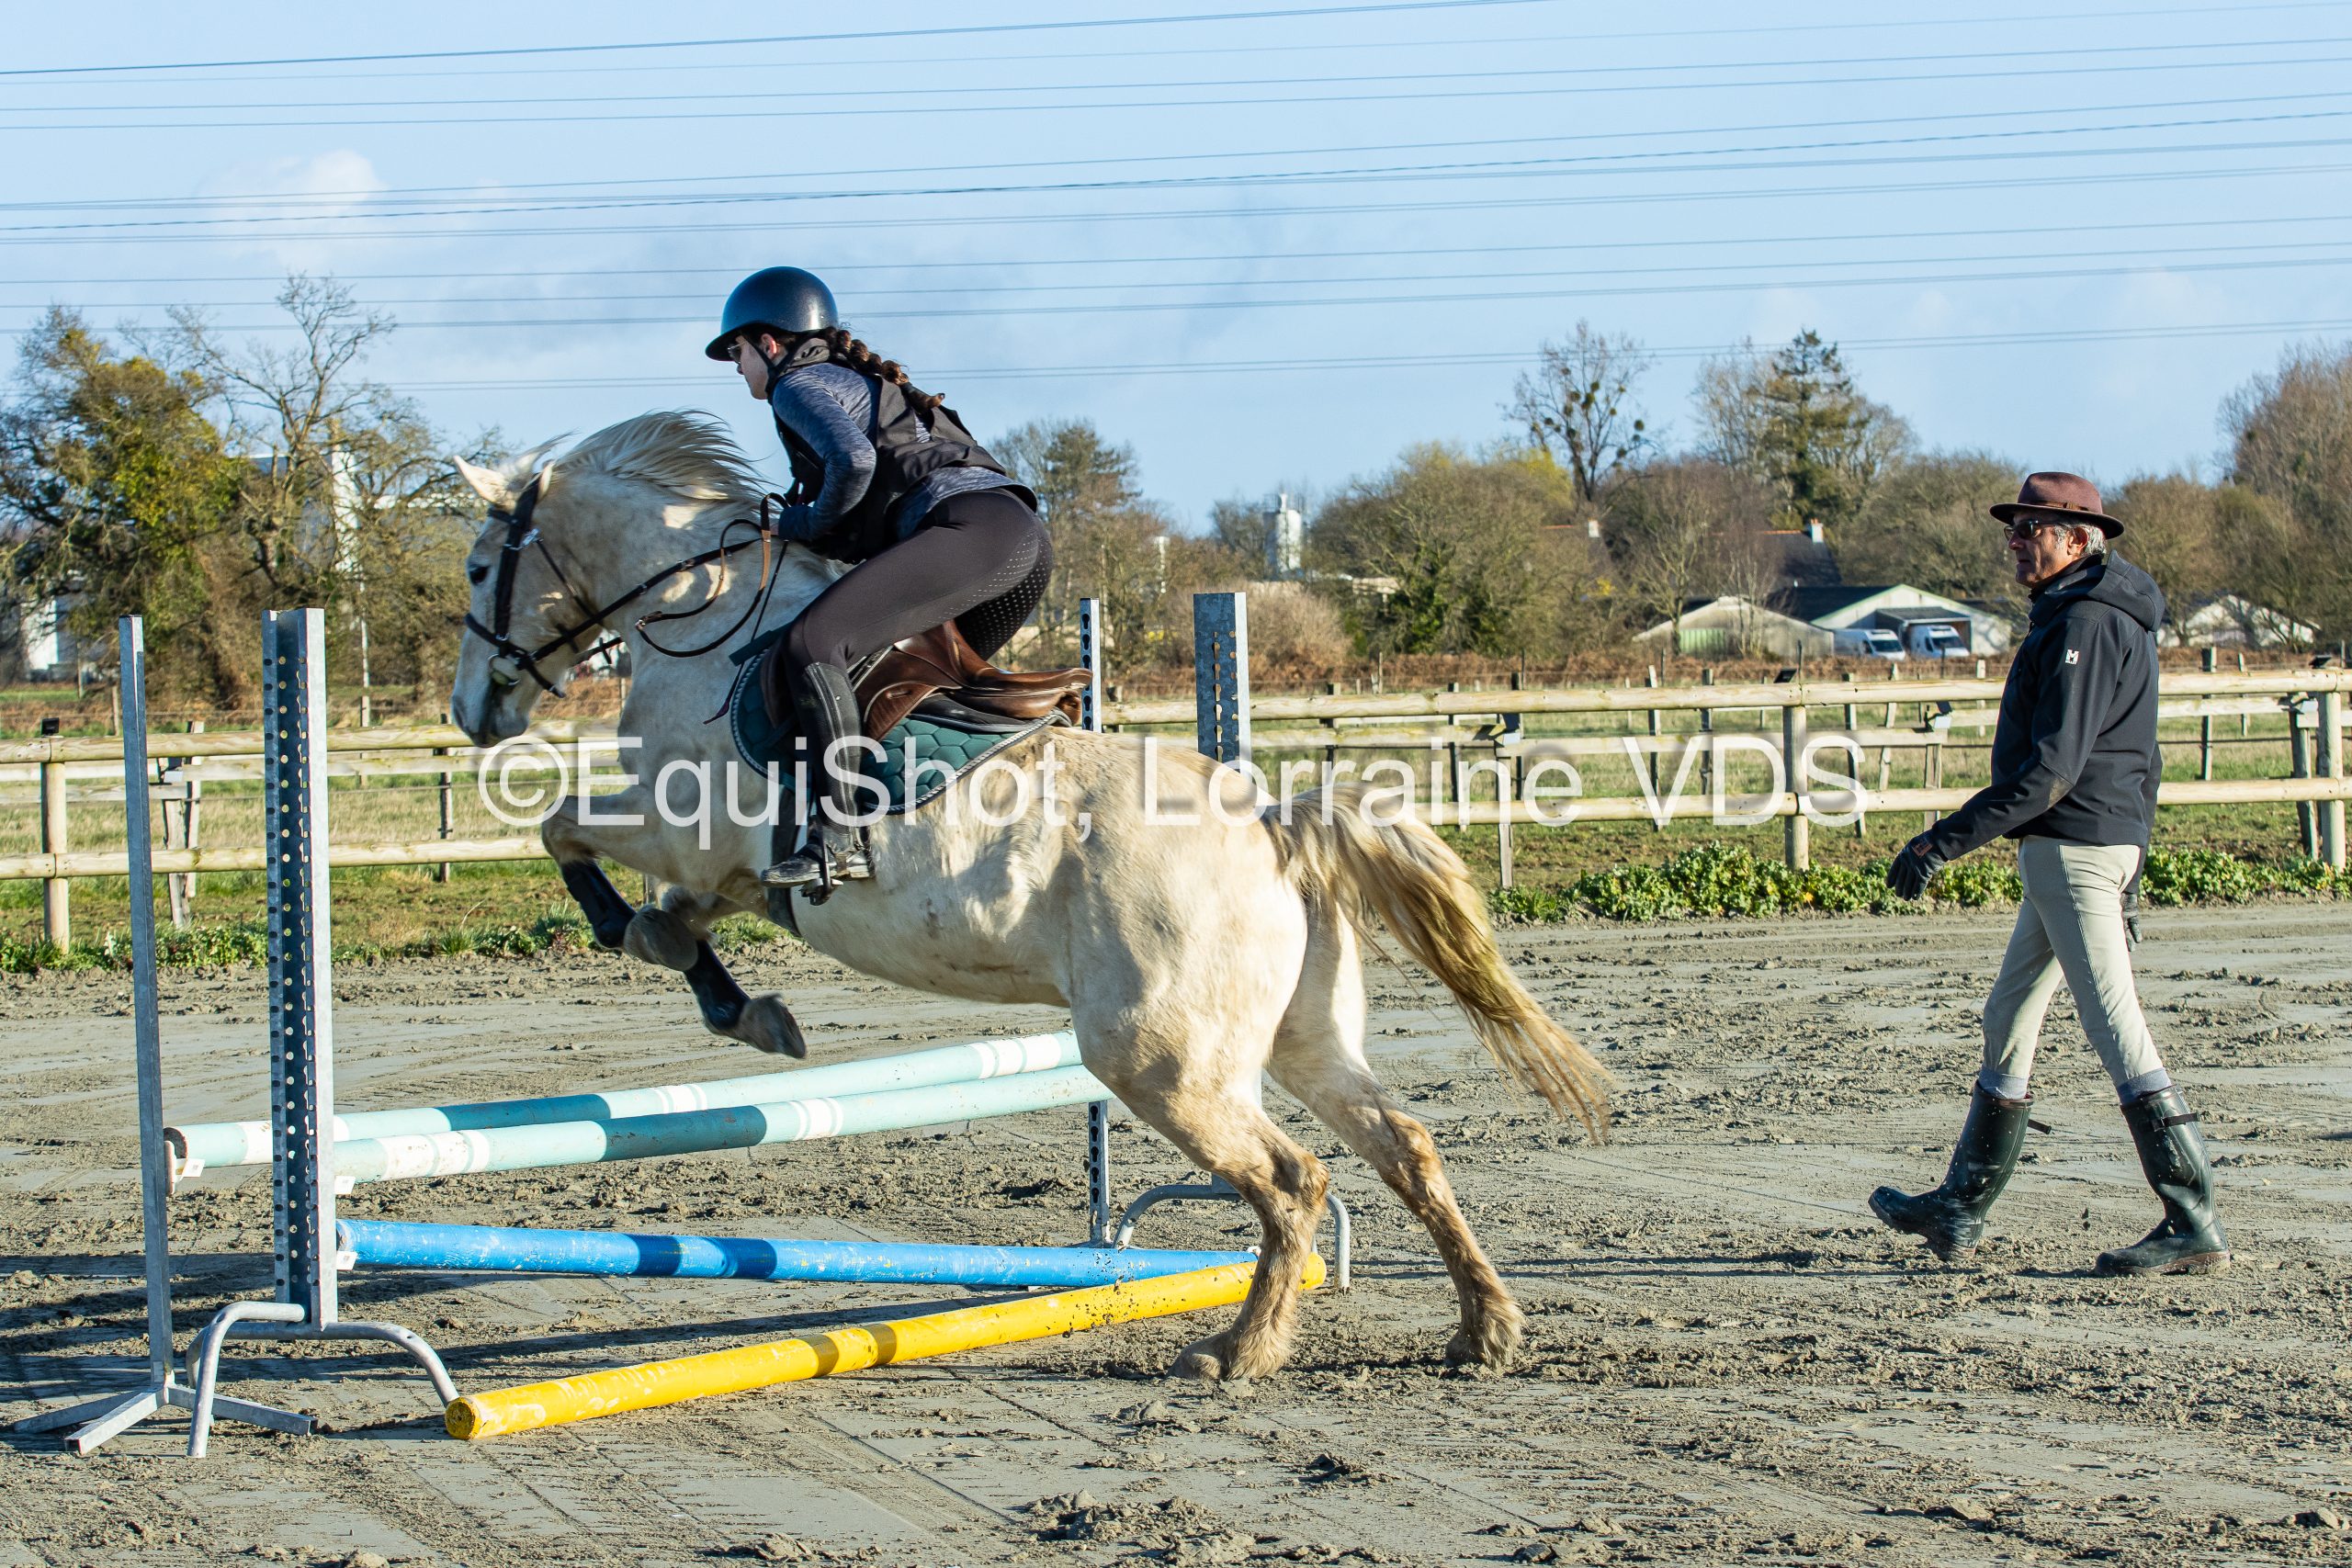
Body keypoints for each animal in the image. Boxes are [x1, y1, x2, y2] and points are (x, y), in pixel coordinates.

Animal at [448, 410, 1608, 1381]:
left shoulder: (679, 826)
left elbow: (564, 830)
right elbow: (671, 919)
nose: (471, 714)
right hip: (1298, 1037)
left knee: (1292, 1182)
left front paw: (655, 948)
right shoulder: (723, 873)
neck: (706, 619)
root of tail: (1275, 825)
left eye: (477, 565)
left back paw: (1237, 1353)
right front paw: (745, 1007)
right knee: (1402, 1145)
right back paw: (1481, 1331)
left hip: (1159, 1061)